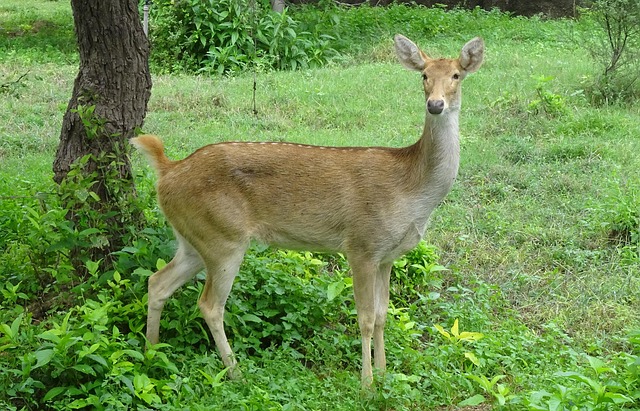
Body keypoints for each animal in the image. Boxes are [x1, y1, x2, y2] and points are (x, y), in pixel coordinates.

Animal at [131, 34, 484, 386]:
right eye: (424, 75)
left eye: (456, 75)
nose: (435, 104)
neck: (411, 190)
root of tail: (167, 170)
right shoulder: (361, 245)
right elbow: (366, 318)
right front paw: (367, 384)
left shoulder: (387, 256)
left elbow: (384, 316)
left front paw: (384, 375)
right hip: (223, 238)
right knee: (209, 305)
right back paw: (236, 372)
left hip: (194, 238)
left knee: (158, 282)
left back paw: (151, 353)